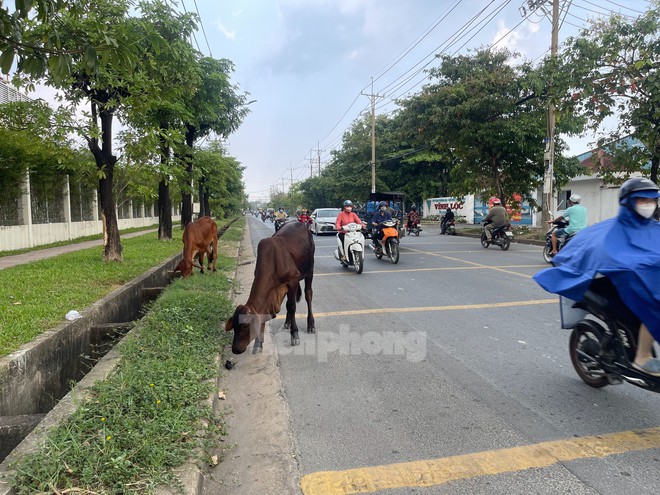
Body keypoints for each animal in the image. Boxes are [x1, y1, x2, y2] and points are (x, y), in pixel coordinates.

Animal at [226, 220, 316, 352]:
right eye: (234, 326)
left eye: (245, 326)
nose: (235, 349)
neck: (273, 261)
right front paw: (258, 343)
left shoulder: (293, 281)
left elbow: (292, 306)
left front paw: (295, 334)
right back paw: (287, 322)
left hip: (310, 270)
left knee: (308, 294)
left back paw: (310, 324)